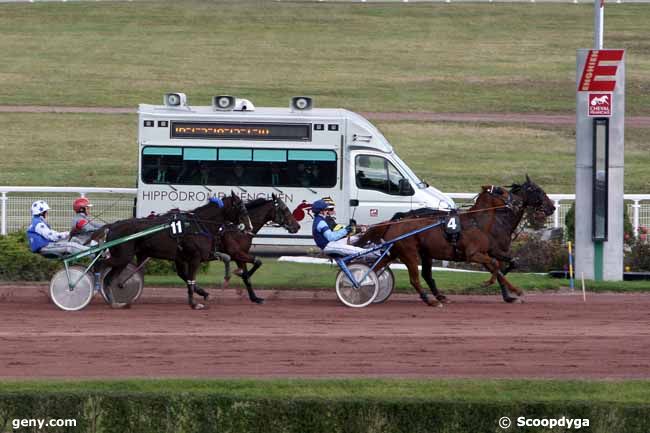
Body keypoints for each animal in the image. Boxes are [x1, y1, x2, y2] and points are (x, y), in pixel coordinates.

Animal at [105, 192, 249, 308]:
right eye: (241, 207)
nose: (248, 226)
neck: (197, 225)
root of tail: (113, 226)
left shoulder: (186, 257)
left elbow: (226, 257)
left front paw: (229, 277)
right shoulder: (195, 258)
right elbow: (191, 279)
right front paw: (194, 304)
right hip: (123, 257)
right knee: (105, 272)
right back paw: (114, 300)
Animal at [354, 176, 552, 308]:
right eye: (537, 190)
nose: (551, 207)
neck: (481, 222)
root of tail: (395, 222)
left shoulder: (491, 251)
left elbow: (507, 264)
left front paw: (510, 293)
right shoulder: (476, 254)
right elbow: (496, 267)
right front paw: (505, 289)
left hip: (403, 251)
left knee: (380, 269)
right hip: (409, 253)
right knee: (415, 278)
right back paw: (431, 300)